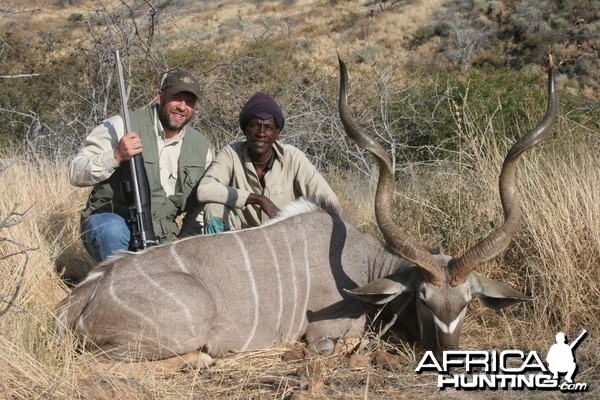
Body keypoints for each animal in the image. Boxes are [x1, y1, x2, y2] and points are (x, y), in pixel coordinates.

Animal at [57, 54, 556, 368]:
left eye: (467, 302)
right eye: (423, 299)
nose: (450, 359)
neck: (362, 267)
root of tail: (79, 301)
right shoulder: (326, 336)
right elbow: (334, 347)